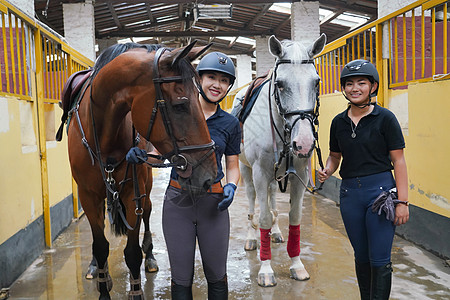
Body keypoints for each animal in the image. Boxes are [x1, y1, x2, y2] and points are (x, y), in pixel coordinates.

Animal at [64, 41, 216, 298]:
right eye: (180, 105)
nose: (209, 176)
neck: (102, 136)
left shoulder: (131, 192)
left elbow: (133, 252)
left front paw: (136, 288)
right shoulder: (87, 194)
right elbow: (101, 246)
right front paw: (102, 285)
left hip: (144, 186)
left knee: (147, 212)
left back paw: (151, 256)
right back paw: (96, 268)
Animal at [234, 34, 326, 288]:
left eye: (316, 83)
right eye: (280, 84)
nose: (303, 143)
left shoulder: (299, 175)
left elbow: (294, 218)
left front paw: (297, 265)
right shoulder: (259, 173)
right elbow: (263, 216)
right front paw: (266, 270)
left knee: (273, 197)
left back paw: (275, 233)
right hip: (247, 170)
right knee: (252, 201)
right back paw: (251, 238)